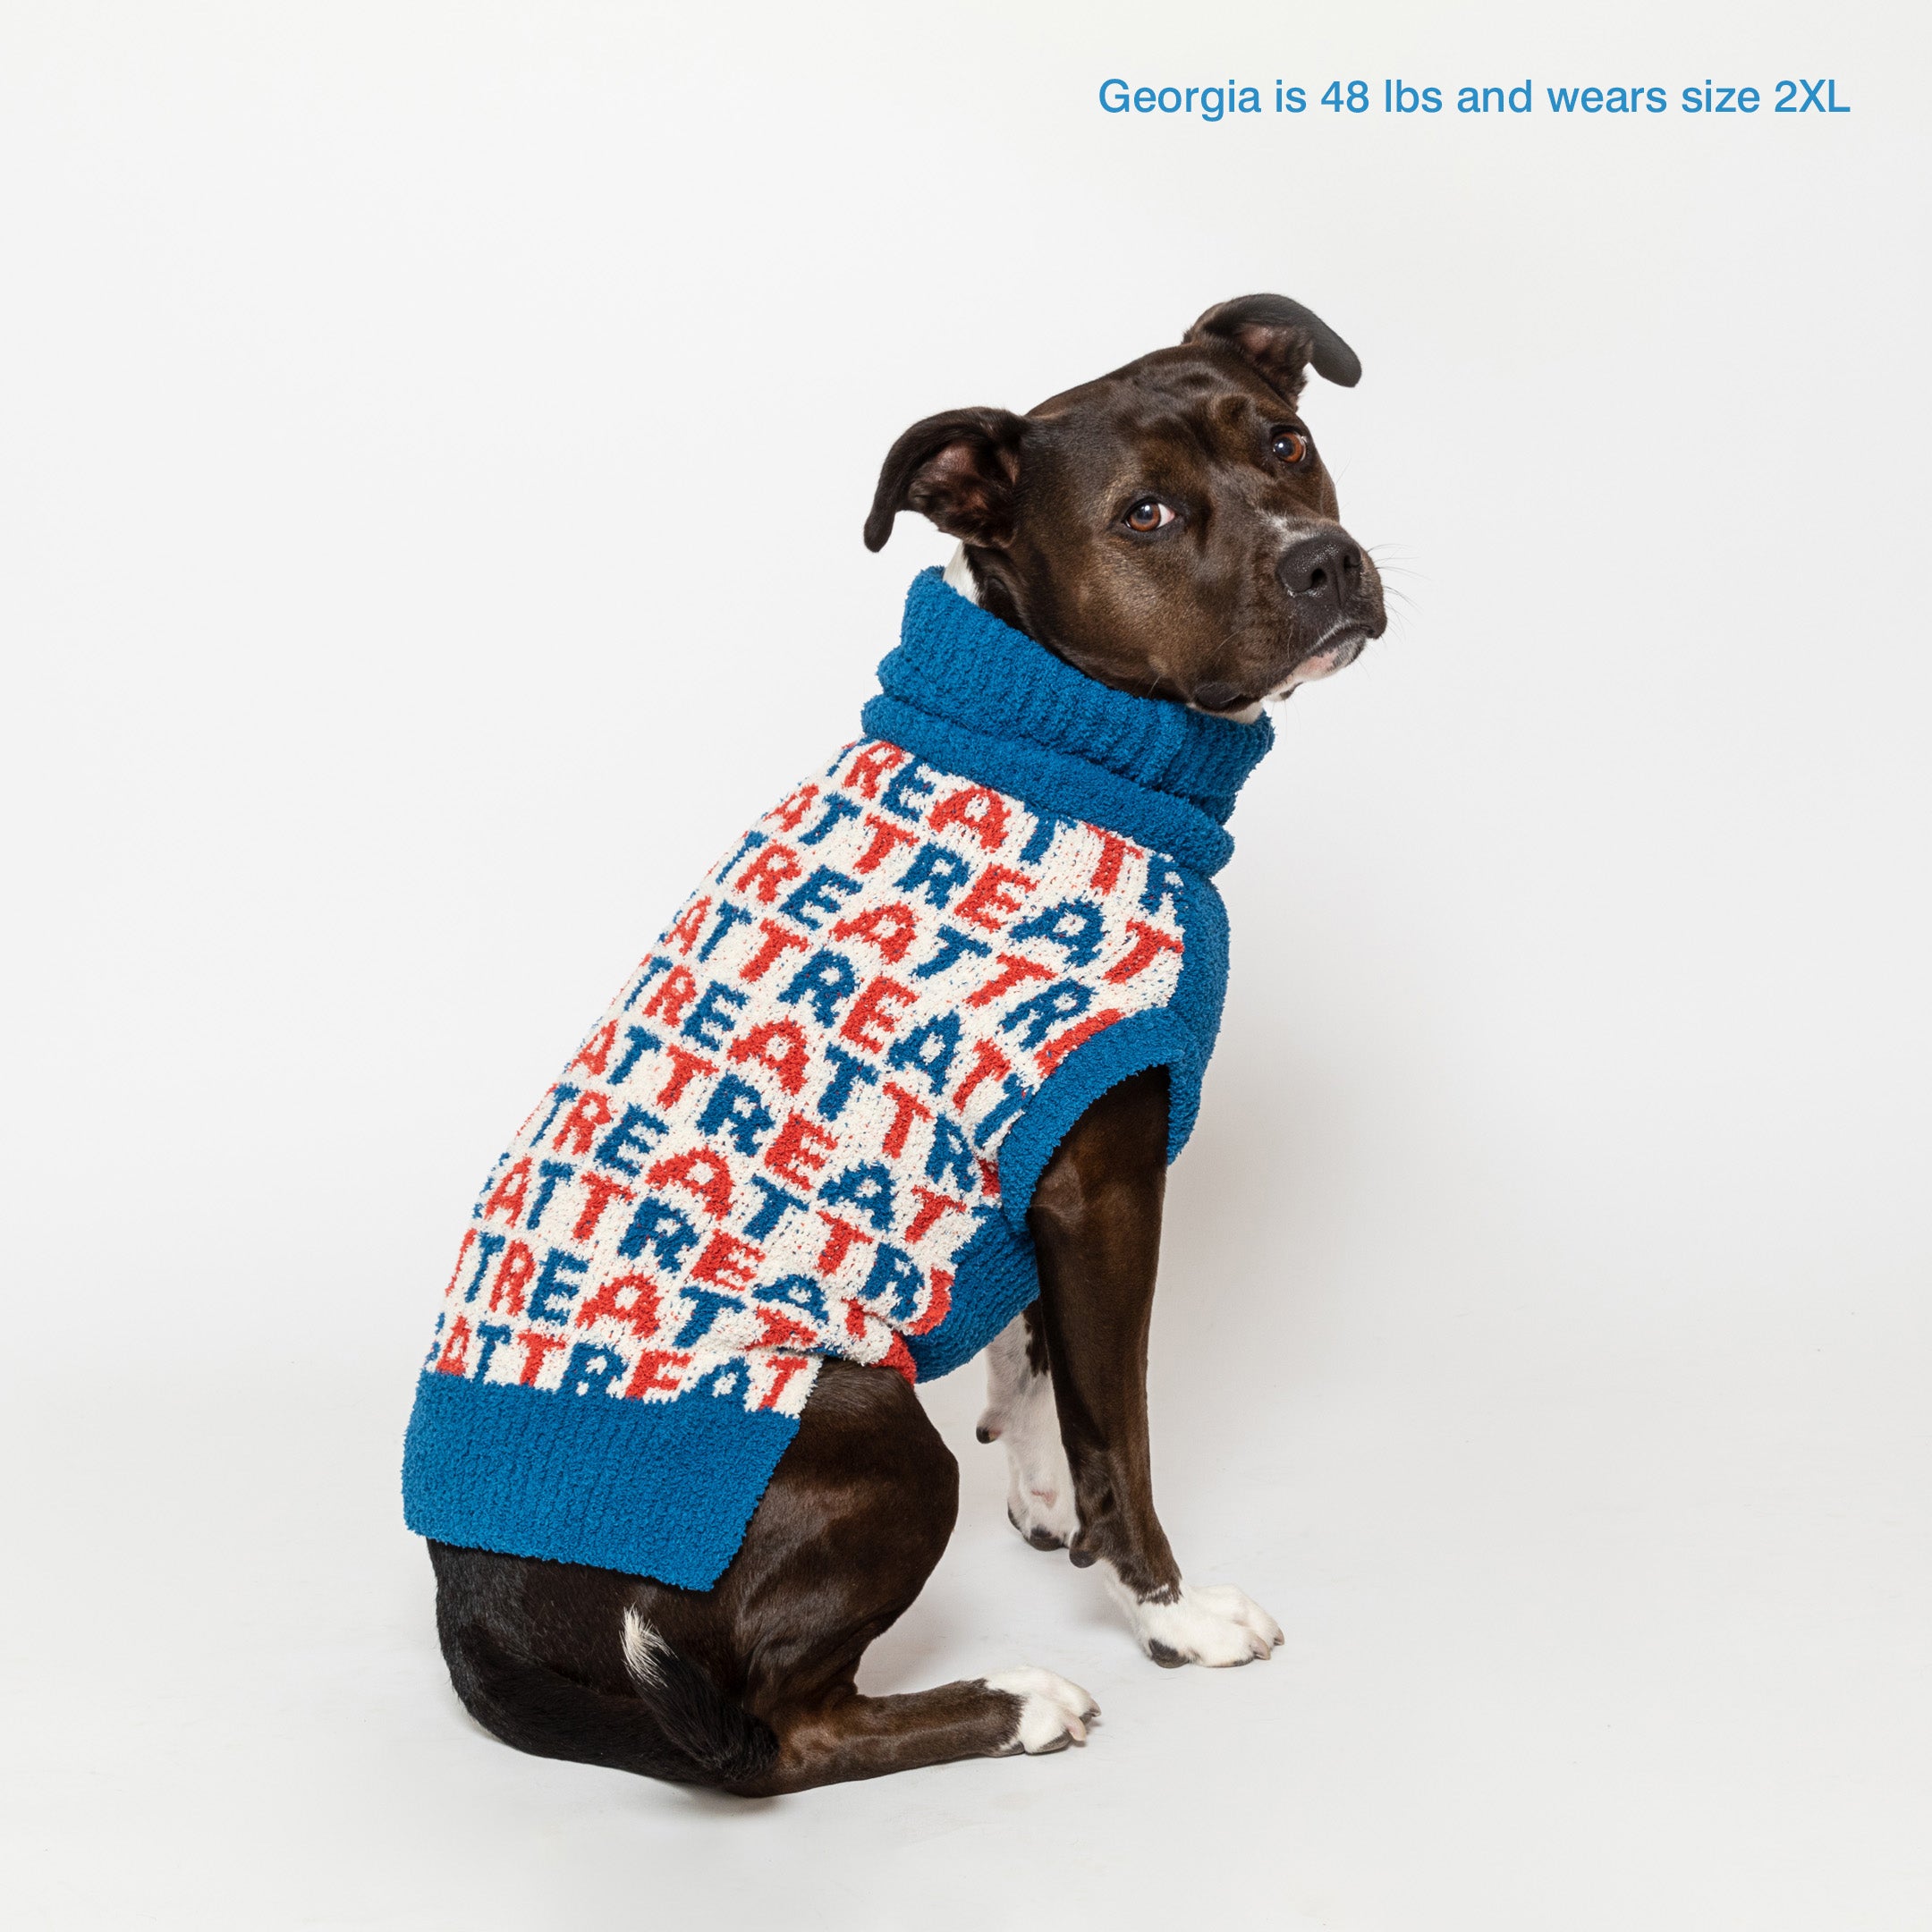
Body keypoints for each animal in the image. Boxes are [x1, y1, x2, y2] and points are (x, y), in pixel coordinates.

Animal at [407, 290, 1383, 1792]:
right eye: (1147, 514)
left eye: (1285, 441)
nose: (1322, 559)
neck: (1059, 746)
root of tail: (477, 1620)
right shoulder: (1104, 1183)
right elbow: (1121, 1433)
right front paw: (1166, 1615)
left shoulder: (1037, 1180)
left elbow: (1033, 1362)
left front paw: (1042, 1504)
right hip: (867, 1431)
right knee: (776, 1738)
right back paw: (1020, 1701)